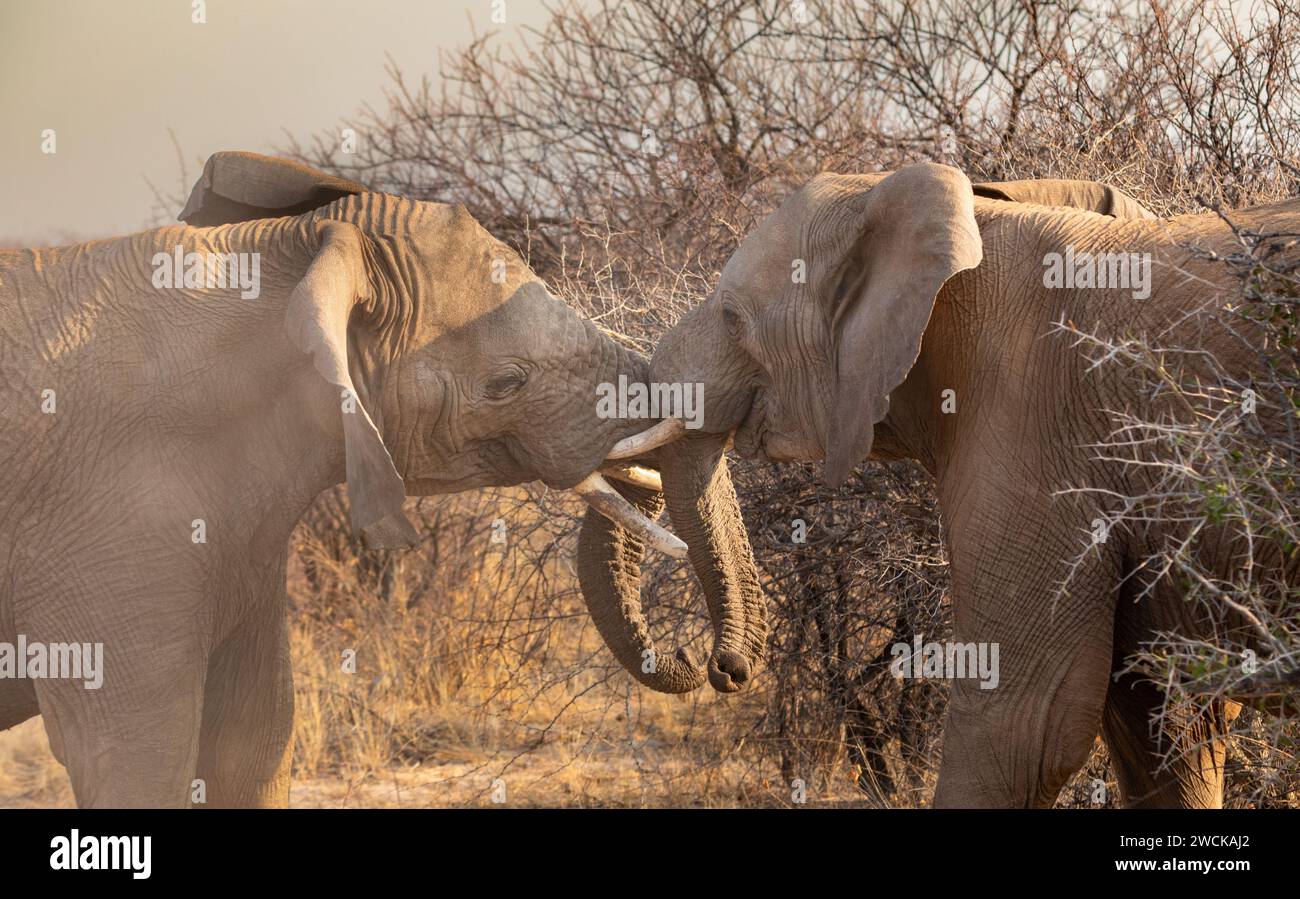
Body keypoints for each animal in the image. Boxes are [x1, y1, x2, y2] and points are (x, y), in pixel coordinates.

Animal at [0, 149, 717, 805]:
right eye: (506, 383)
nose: (701, 659)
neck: (289, 249)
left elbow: (254, 743)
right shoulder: (107, 527)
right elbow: (139, 758)